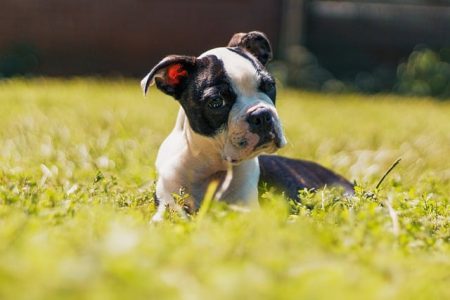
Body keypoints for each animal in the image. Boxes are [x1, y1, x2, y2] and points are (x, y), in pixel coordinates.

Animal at [141, 31, 352, 223]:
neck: (211, 167)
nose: (261, 115)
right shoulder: (167, 204)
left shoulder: (246, 209)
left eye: (269, 85)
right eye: (216, 102)